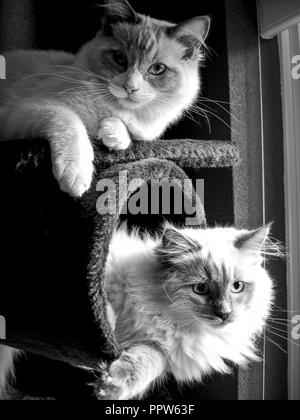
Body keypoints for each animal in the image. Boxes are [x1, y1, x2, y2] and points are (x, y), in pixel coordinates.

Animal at [93, 221, 282, 398]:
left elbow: (149, 358)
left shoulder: (162, 347)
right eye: (200, 288)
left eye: (237, 287)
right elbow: (107, 307)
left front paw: (112, 385)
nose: (224, 314)